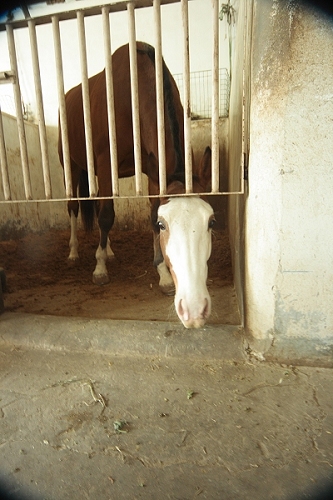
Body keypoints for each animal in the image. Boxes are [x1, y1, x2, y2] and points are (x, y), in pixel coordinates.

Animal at [59, 42, 215, 328]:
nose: (195, 310)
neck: (132, 93)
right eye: (165, 225)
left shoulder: (154, 172)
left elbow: (146, 211)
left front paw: (162, 274)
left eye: (211, 222)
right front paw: (99, 269)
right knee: (74, 207)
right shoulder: (105, 165)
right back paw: (74, 253)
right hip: (72, 168)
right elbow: (107, 216)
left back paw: (108, 250)